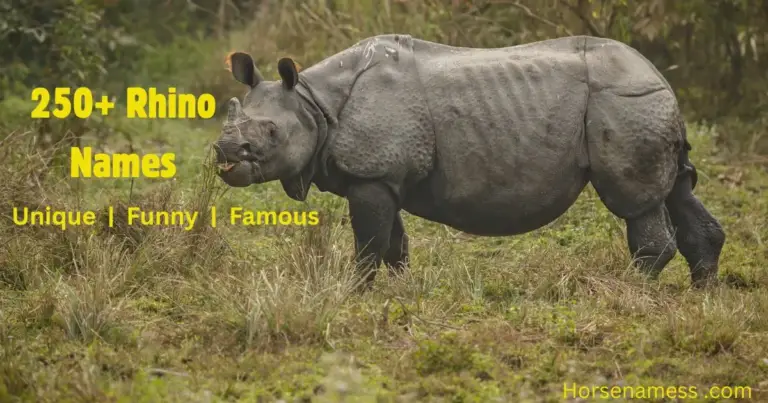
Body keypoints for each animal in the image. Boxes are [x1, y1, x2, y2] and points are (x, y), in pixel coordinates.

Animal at [214, 34, 725, 290]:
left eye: (273, 134)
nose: (224, 155)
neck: (312, 102)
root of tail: (656, 74)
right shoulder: (386, 176)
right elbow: (393, 243)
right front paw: (399, 293)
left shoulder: (372, 174)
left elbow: (369, 243)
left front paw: (353, 293)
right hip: (644, 102)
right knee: (678, 189)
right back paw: (701, 293)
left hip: (624, 101)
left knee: (637, 203)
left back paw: (630, 290)